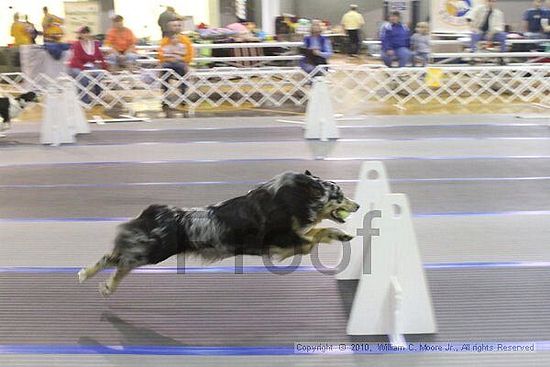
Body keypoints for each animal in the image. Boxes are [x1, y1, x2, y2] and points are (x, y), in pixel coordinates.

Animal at [77, 171, 362, 298]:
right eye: (338, 195)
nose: (358, 205)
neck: (294, 199)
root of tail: (155, 212)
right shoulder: (283, 242)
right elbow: (314, 236)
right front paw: (339, 234)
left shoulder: (290, 238)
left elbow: (319, 230)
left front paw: (341, 235)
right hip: (154, 252)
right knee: (123, 263)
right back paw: (106, 287)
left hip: (148, 247)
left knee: (113, 255)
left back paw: (85, 274)